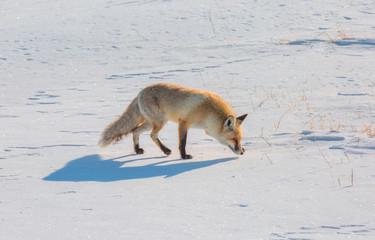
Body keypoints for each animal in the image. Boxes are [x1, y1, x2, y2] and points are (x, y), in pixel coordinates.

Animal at [98, 83, 248, 159]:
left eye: (239, 140)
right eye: (234, 139)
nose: (241, 152)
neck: (209, 112)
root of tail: (140, 92)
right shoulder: (184, 123)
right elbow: (182, 143)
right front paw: (184, 156)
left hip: (151, 123)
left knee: (135, 131)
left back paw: (137, 150)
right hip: (160, 122)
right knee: (152, 135)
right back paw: (165, 150)